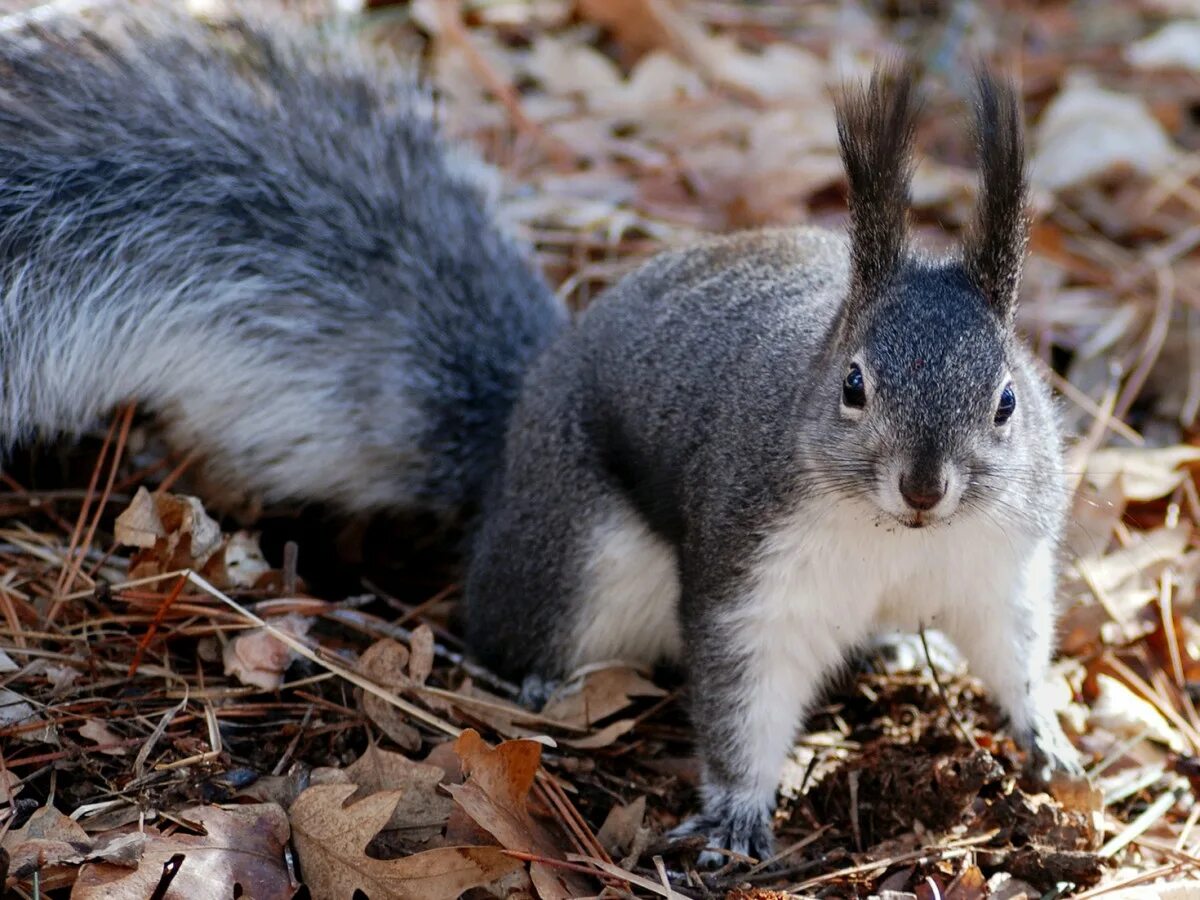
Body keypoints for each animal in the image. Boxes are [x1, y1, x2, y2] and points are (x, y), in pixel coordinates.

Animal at [0, 7, 1084, 868]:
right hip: (579, 556)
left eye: (1008, 400)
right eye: (853, 385)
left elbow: (1013, 647)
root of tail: (516, 431)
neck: (898, 540)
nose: (924, 485)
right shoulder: (753, 571)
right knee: (509, 617)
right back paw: (531, 675)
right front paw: (736, 812)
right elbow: (742, 696)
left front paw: (1048, 735)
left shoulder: (1001, 562)